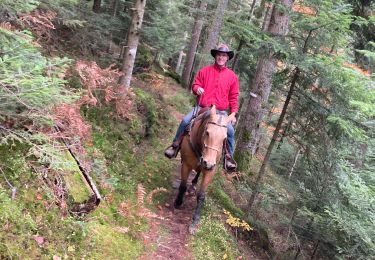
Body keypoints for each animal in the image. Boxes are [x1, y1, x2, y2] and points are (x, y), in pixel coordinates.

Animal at [173, 104, 235, 235]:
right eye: (207, 132)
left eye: (225, 138)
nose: (208, 163)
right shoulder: (186, 164)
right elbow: (182, 186)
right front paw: (178, 202)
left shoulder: (210, 171)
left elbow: (201, 195)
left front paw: (194, 222)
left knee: (198, 173)